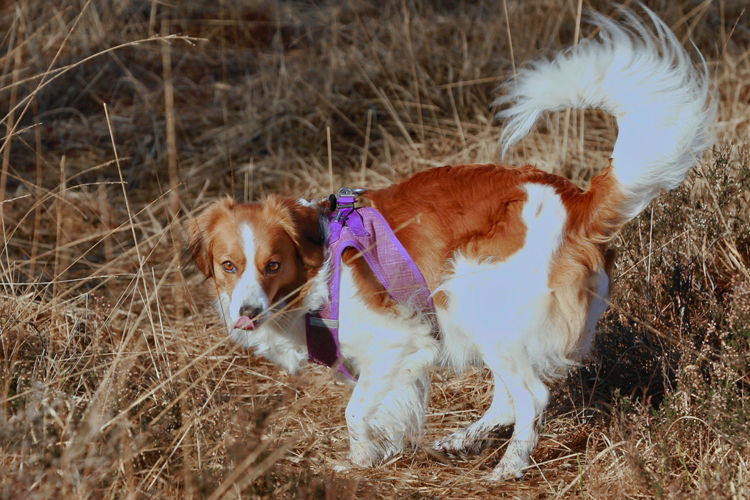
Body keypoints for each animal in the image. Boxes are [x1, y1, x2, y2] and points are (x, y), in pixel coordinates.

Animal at [189, 8, 716, 480]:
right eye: (229, 265)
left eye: (273, 265)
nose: (247, 313)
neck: (320, 268)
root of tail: (578, 201)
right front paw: (367, 458)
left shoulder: (401, 341)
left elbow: (355, 411)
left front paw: (359, 460)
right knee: (506, 399)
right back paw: (461, 440)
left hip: (473, 296)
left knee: (530, 397)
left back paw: (510, 466)